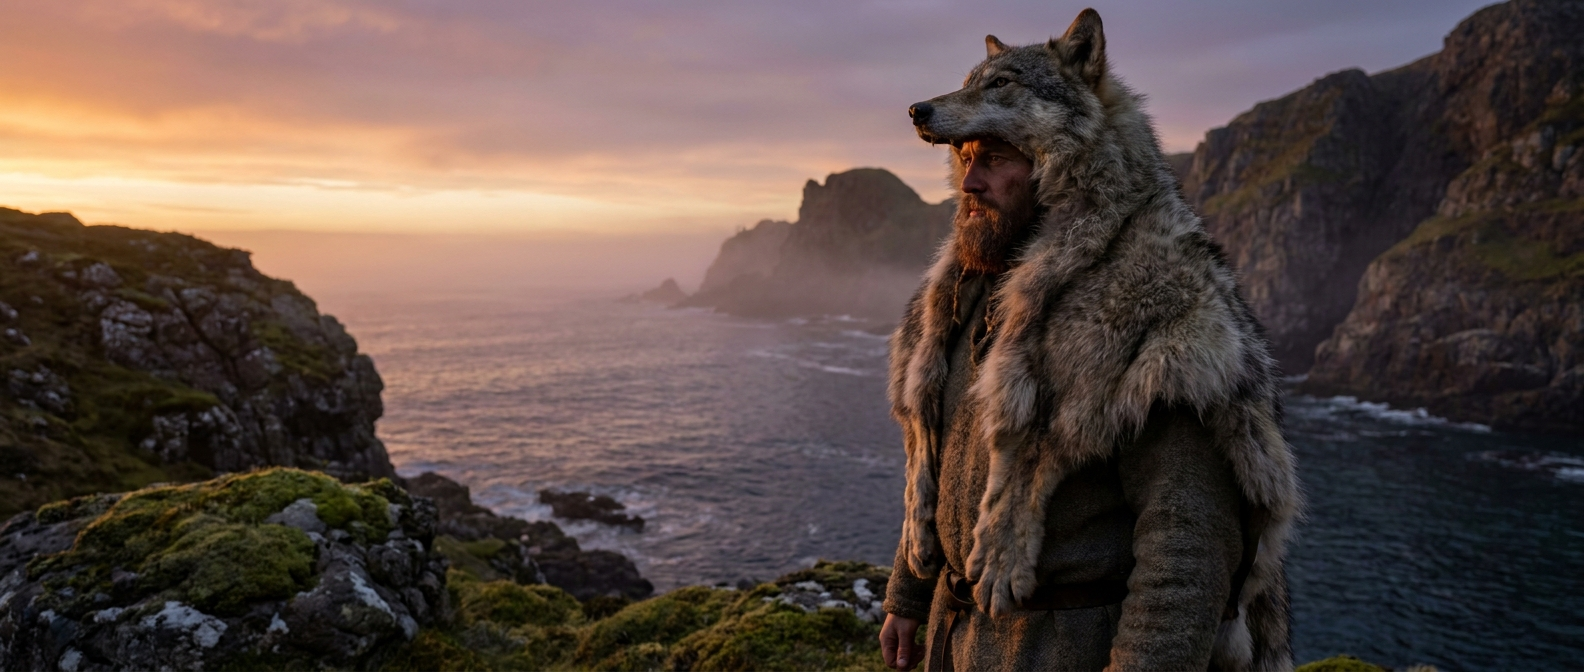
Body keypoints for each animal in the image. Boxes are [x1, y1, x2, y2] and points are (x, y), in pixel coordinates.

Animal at [889, 8, 1299, 671]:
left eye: (1001, 84)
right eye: (968, 83)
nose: (916, 109)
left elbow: (1030, 462)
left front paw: (1002, 549)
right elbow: (922, 454)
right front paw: (912, 564)